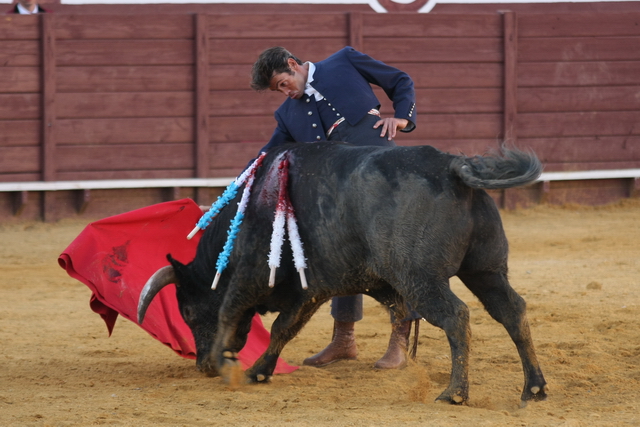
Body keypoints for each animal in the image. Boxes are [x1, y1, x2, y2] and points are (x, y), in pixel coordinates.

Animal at [138, 143, 548, 404]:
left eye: (188, 312)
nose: (203, 365)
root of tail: (452, 167)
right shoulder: (312, 288)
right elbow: (283, 328)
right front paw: (259, 371)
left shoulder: (250, 273)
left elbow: (229, 311)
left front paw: (229, 367)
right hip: (486, 270)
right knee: (512, 311)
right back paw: (534, 389)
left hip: (420, 278)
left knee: (456, 316)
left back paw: (455, 393)